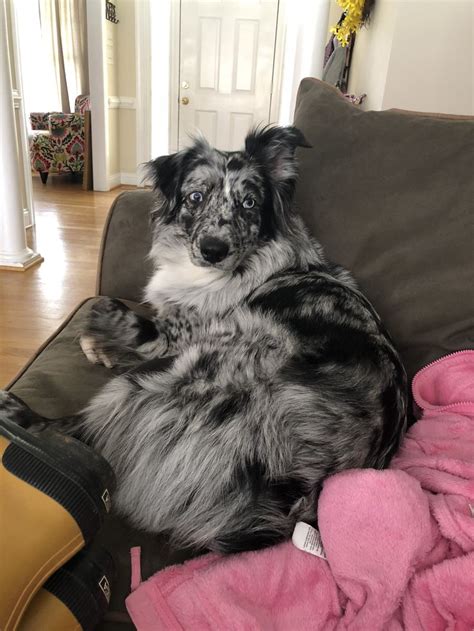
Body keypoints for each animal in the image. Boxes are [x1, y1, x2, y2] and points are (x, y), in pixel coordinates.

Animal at [1, 127, 408, 552]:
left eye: (249, 203)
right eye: (196, 197)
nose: (214, 250)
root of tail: (298, 490)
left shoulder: (173, 338)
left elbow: (118, 313)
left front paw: (98, 330)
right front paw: (98, 347)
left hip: (163, 380)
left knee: (79, 430)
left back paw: (18, 413)